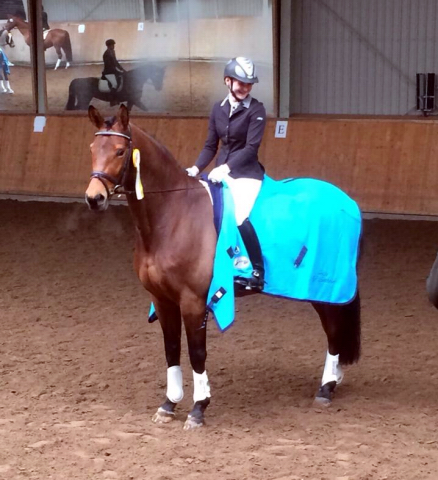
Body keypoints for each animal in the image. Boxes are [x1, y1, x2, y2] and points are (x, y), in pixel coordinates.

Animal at [84, 105, 362, 432]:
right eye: (92, 148)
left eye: (119, 150)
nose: (94, 198)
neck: (173, 214)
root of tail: (345, 199)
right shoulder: (162, 299)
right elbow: (171, 349)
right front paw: (168, 405)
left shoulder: (193, 301)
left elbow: (197, 352)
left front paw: (198, 409)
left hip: (326, 287)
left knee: (333, 330)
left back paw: (326, 388)